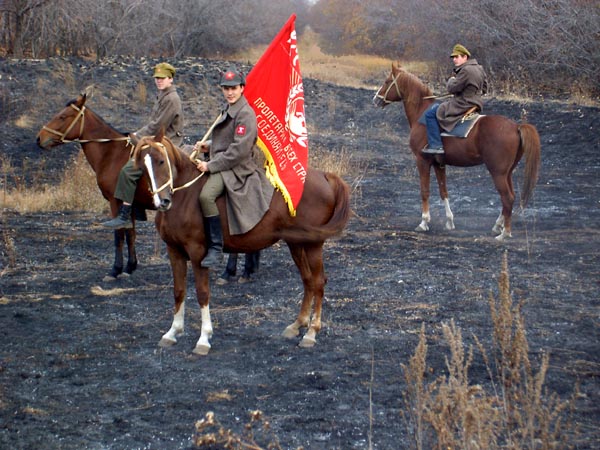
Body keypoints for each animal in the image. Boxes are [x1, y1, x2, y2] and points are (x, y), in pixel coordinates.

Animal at [36, 94, 155, 278]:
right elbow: (130, 234)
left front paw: (116, 269)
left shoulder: (116, 201)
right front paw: (130, 267)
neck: (113, 155)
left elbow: (119, 234)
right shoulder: (130, 206)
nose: (39, 138)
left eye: (63, 116)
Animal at [129, 130, 350, 356]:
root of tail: (325, 176)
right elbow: (179, 291)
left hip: (313, 244)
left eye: (161, 161)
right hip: (296, 243)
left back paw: (311, 333)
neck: (185, 196)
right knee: (307, 280)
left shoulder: (198, 253)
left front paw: (204, 338)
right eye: (141, 167)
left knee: (318, 282)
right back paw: (297, 325)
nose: (162, 202)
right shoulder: (174, 251)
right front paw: (172, 333)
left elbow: (202, 293)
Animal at [372, 62, 540, 243]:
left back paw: (504, 233)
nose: (375, 99)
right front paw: (449, 221)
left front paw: (424, 222)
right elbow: (443, 191)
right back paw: (497, 226)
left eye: (387, 81)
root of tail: (516, 126)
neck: (421, 113)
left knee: (507, 198)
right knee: (511, 197)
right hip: (507, 172)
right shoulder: (439, 164)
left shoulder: (422, 160)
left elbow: (425, 191)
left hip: (498, 172)